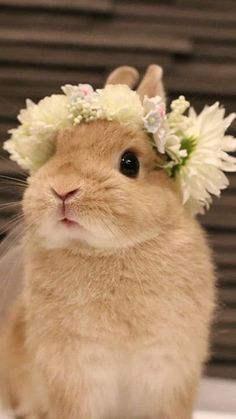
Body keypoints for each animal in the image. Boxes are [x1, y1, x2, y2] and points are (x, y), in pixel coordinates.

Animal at [0, 65, 216, 419]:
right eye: (55, 150)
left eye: (130, 163)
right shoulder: (74, 375)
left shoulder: (169, 373)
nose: (63, 189)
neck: (108, 252)